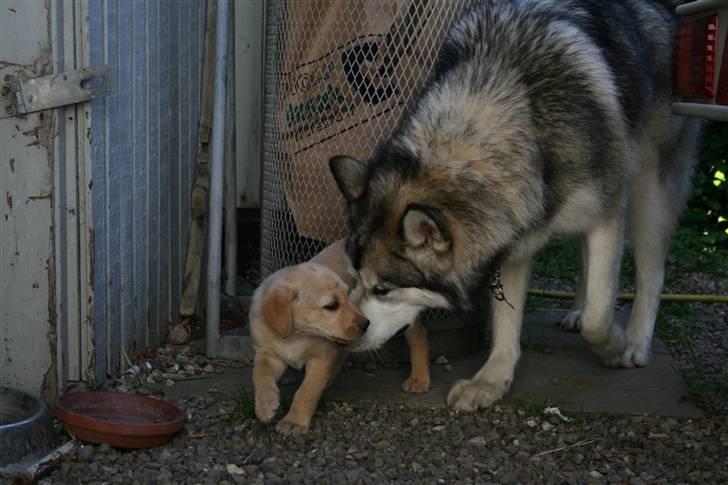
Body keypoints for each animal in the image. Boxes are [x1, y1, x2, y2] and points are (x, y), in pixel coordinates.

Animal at [330, 0, 700, 412]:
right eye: (355, 279)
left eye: (383, 290)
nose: (344, 336)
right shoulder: (516, 234)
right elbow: (508, 322)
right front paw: (491, 382)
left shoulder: (606, 215)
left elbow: (599, 317)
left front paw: (615, 346)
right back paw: (576, 309)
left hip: (648, 196)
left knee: (652, 274)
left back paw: (636, 342)